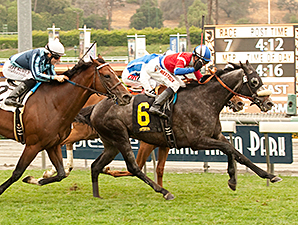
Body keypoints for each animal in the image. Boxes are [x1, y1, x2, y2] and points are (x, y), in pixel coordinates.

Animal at [0, 56, 132, 195]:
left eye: (115, 73)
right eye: (107, 75)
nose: (127, 96)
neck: (54, 103)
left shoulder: (52, 144)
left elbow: (61, 174)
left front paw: (34, 179)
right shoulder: (33, 145)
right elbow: (17, 172)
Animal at [79, 60, 280, 200]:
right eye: (254, 81)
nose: (269, 103)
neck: (205, 100)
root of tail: (96, 106)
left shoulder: (216, 135)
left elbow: (238, 153)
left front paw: (269, 175)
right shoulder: (197, 141)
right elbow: (229, 149)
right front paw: (233, 179)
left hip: (111, 143)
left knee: (96, 166)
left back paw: (97, 195)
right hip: (120, 137)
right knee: (133, 167)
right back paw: (164, 191)